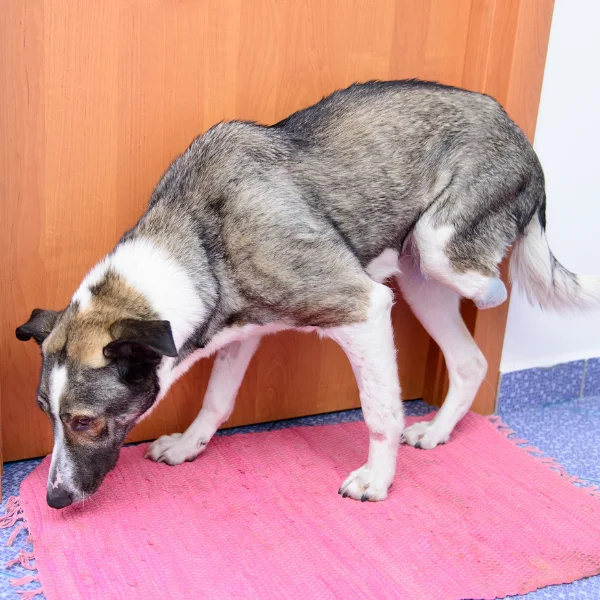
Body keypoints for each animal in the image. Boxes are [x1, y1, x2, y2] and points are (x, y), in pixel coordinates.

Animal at [15, 79, 600, 508]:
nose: (54, 500)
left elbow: (381, 412)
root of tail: (517, 130)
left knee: (493, 288)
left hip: (440, 250)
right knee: (471, 360)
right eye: (46, 414)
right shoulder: (238, 331)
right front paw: (187, 445)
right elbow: (216, 399)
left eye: (84, 421)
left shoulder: (362, 308)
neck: (201, 239)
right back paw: (436, 432)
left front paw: (377, 480)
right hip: (422, 279)